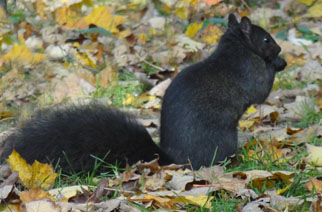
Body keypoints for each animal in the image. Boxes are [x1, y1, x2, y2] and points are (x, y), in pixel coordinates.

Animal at [0, 15, 286, 174]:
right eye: (266, 40)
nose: (280, 49)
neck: (237, 48)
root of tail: (173, 160)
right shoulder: (249, 71)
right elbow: (261, 90)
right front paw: (278, 64)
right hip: (224, 140)